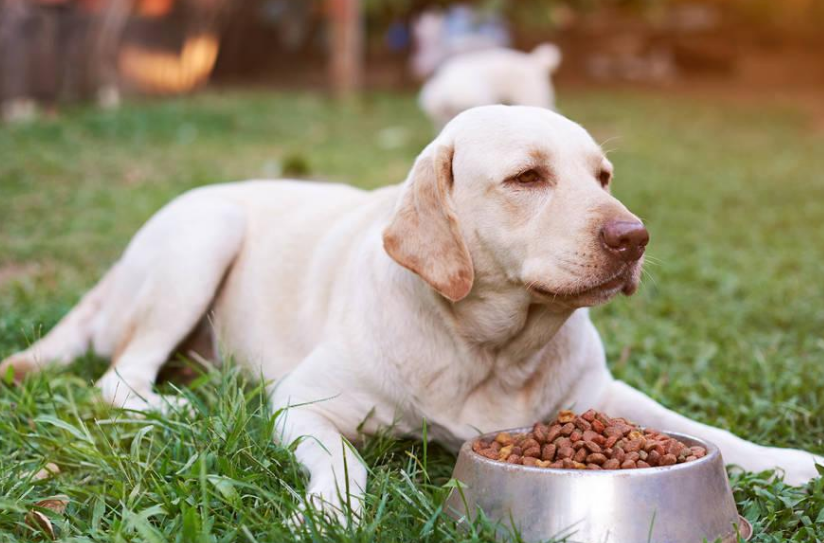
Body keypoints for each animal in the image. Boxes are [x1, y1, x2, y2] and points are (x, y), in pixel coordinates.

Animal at [3, 105, 820, 520]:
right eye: (528, 177)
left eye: (603, 176)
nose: (635, 237)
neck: (492, 350)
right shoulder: (301, 404)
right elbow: (347, 463)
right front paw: (328, 513)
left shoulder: (601, 396)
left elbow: (705, 431)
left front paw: (789, 461)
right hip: (205, 233)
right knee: (117, 380)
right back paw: (179, 406)